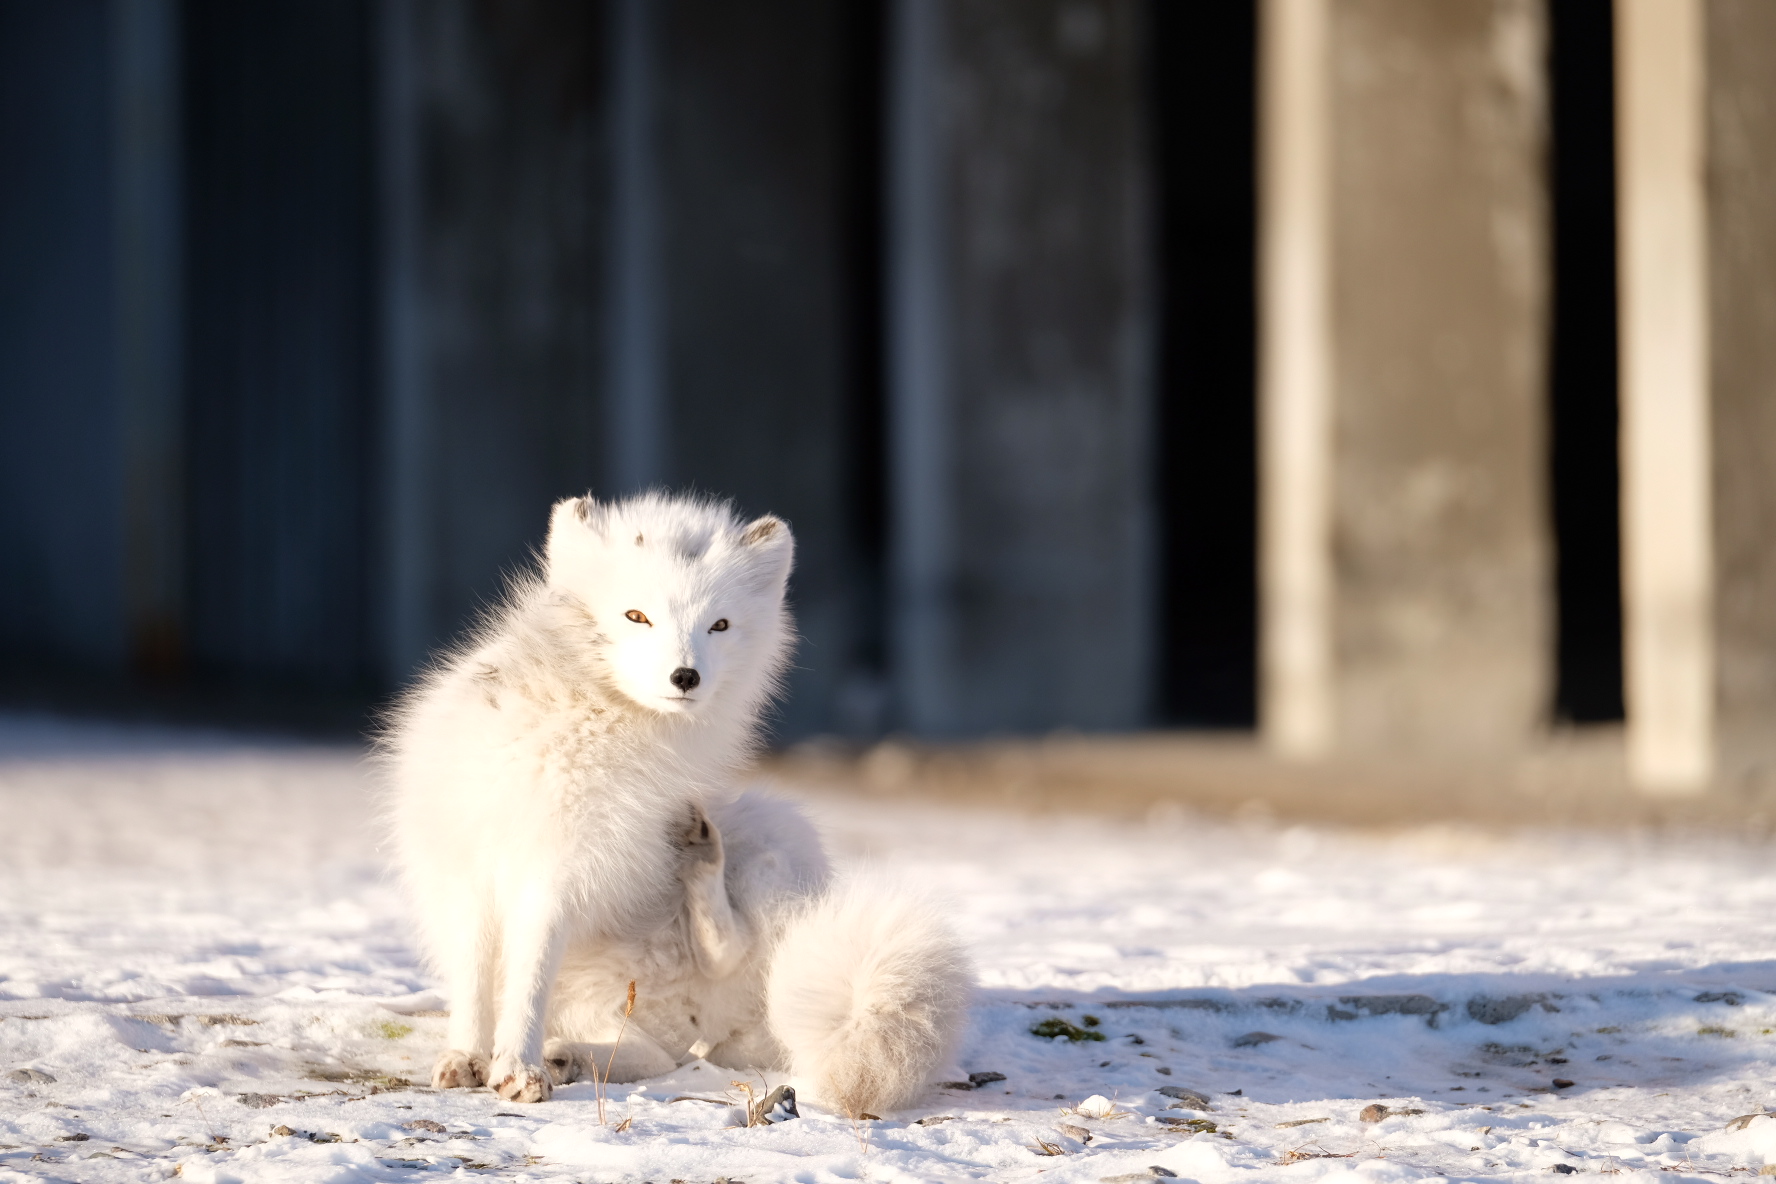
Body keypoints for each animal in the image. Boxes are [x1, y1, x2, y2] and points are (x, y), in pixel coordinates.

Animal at [381, 493, 973, 1121]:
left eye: (719, 625)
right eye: (636, 616)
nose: (685, 676)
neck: (576, 719)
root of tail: (718, 1023)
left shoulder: (557, 876)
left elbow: (529, 979)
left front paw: (517, 1068)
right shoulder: (464, 869)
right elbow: (473, 980)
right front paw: (467, 1058)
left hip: (770, 827)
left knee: (727, 958)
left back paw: (698, 871)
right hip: (609, 997)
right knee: (652, 1053)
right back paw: (568, 1056)